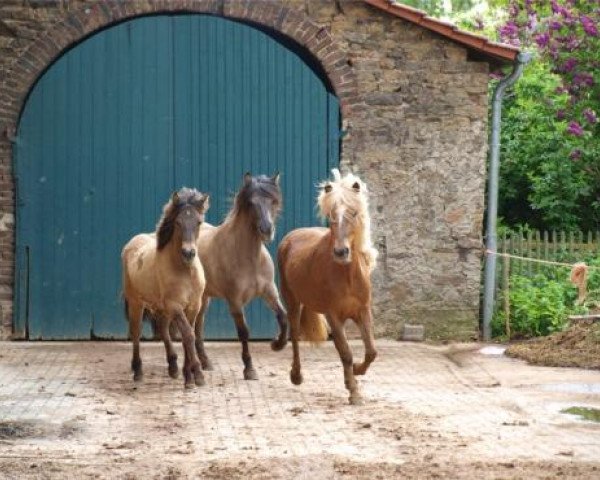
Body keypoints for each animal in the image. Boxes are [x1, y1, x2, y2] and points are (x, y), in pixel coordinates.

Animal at [120, 186, 210, 388]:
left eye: (199, 222)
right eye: (177, 222)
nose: (188, 253)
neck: (185, 271)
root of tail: (130, 244)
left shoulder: (193, 307)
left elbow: (187, 336)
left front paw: (188, 375)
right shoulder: (175, 306)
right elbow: (188, 335)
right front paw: (197, 375)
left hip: (161, 308)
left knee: (162, 328)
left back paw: (173, 367)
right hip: (136, 303)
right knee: (136, 332)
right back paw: (138, 371)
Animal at [191, 172, 288, 378]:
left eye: (273, 201)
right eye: (251, 203)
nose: (267, 230)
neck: (249, 257)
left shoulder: (270, 292)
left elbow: (283, 317)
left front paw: (277, 344)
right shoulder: (235, 301)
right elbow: (244, 332)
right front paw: (249, 369)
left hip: (205, 298)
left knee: (198, 326)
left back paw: (205, 362)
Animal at [278, 170, 380, 404]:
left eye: (353, 213)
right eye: (332, 214)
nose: (341, 252)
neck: (347, 274)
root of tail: (290, 237)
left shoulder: (362, 311)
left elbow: (371, 351)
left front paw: (358, 371)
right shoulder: (334, 315)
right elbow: (346, 352)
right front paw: (353, 391)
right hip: (292, 301)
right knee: (295, 335)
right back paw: (296, 375)